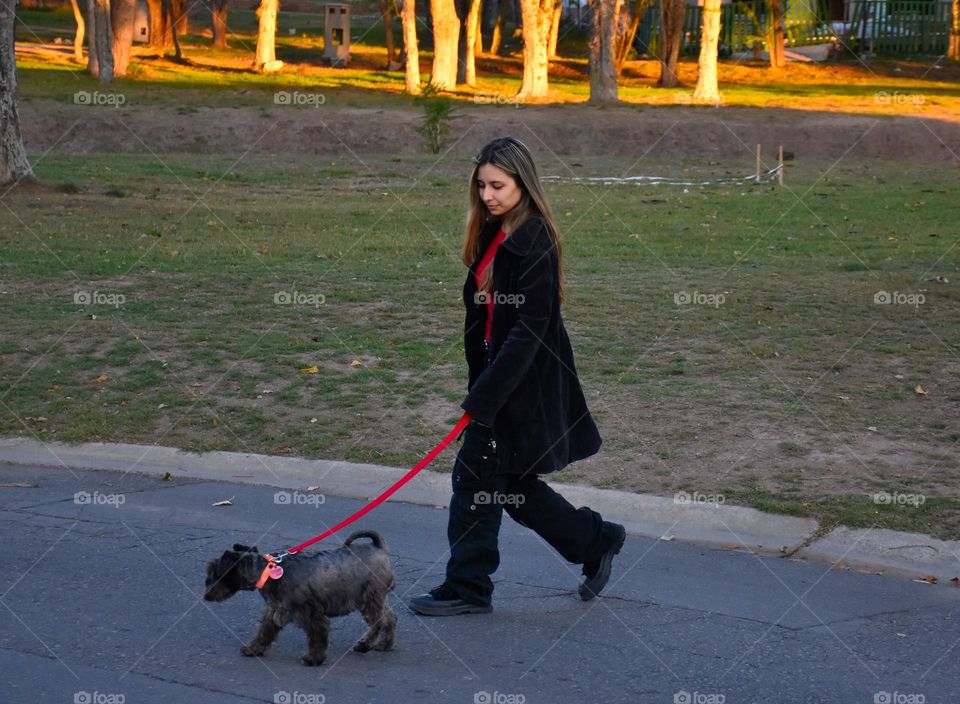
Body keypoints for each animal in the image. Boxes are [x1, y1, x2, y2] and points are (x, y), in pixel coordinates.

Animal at [204, 528, 396, 664]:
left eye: (214, 571)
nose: (205, 594)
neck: (267, 572)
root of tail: (378, 547)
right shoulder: (274, 610)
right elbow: (264, 632)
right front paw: (253, 649)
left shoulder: (313, 615)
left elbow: (317, 638)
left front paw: (313, 659)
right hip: (378, 600)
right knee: (390, 619)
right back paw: (384, 645)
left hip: (369, 601)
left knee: (379, 623)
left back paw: (365, 645)